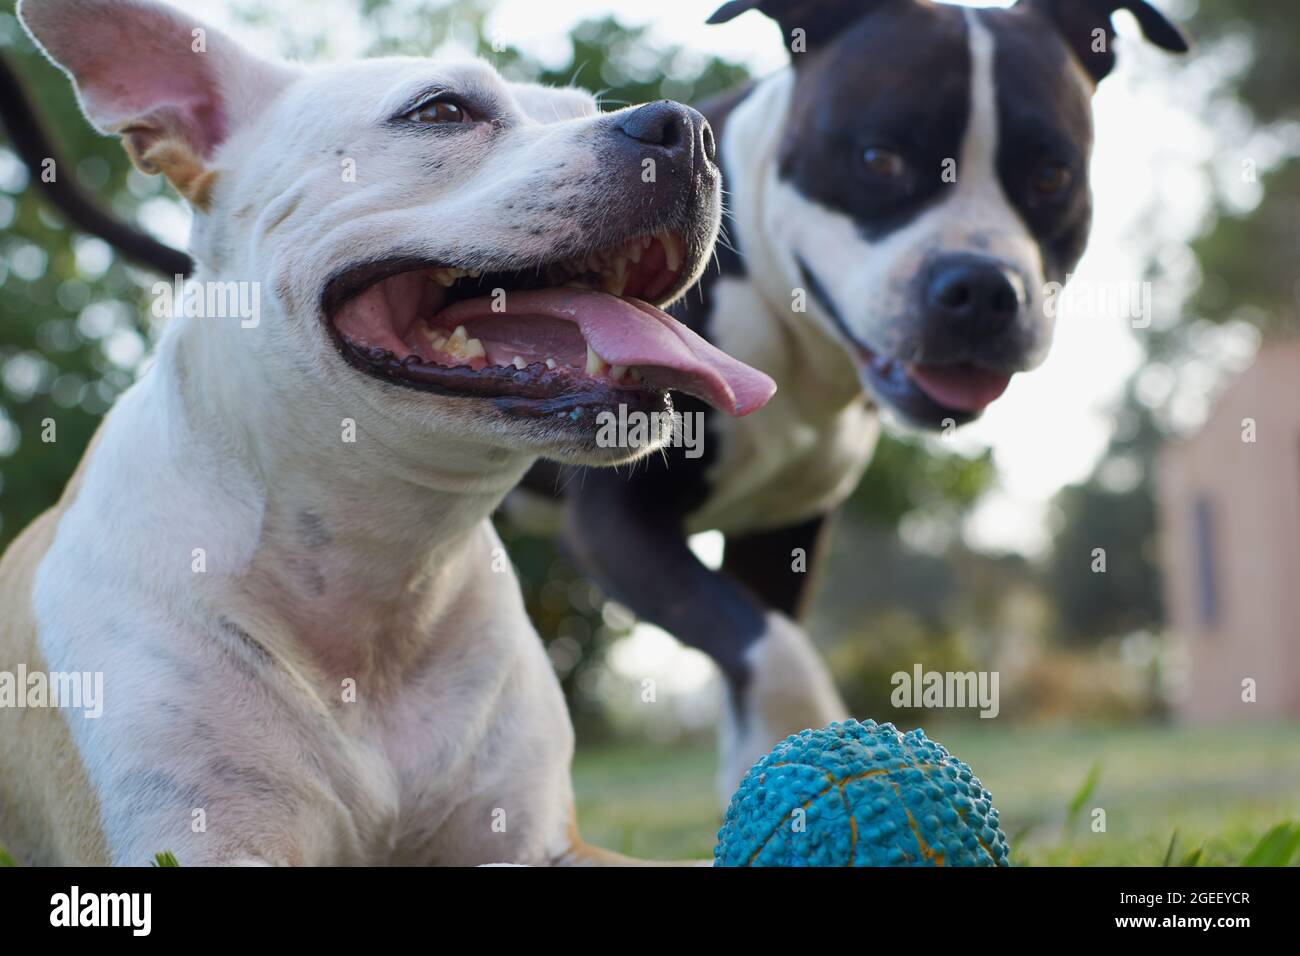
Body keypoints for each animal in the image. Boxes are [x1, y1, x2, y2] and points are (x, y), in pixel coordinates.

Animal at [0, 0, 769, 868]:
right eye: (441, 111)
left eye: (582, 110)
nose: (687, 127)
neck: (382, 567)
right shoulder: (193, 841)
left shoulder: (540, 842)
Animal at [517, 0, 1190, 801]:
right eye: (877, 159)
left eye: (1051, 174)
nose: (981, 288)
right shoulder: (616, 518)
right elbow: (776, 652)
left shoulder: (782, 535)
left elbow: (760, 653)